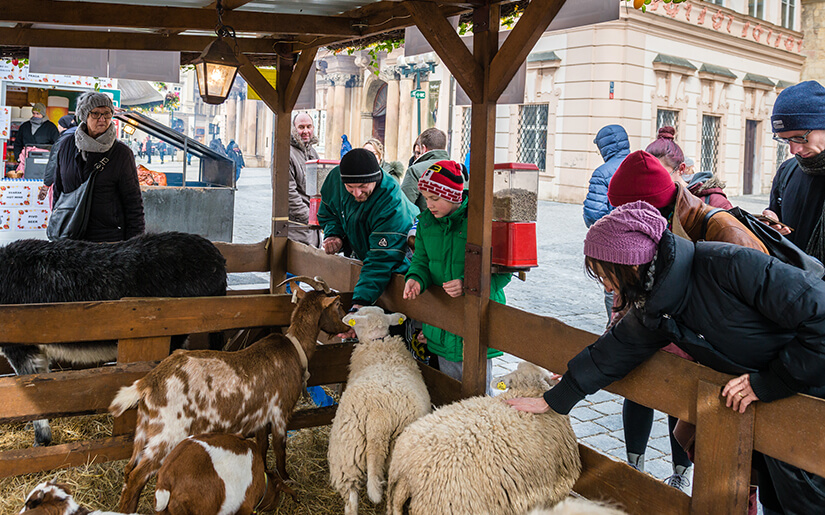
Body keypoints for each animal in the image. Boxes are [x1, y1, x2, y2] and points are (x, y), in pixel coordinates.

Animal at [326, 308, 434, 512]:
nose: (352, 309)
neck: (379, 341)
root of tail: (379, 416)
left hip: (346, 449)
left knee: (351, 501)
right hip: (360, 452)